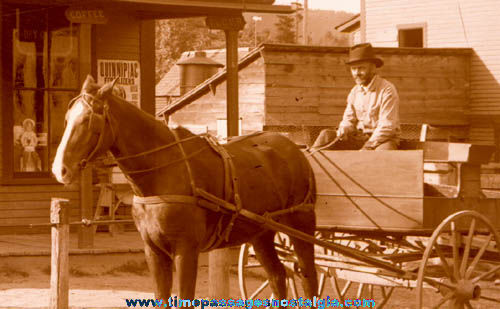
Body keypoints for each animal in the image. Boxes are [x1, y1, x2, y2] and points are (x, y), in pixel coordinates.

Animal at [50, 76, 316, 304]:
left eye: (88, 120)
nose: (59, 169)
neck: (163, 170)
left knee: (308, 277)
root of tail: (294, 148)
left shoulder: (186, 251)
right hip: (261, 233)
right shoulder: (154, 251)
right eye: (67, 118)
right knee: (278, 276)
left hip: (301, 226)